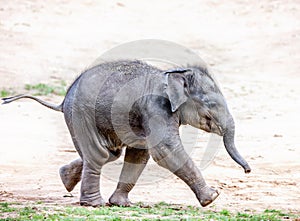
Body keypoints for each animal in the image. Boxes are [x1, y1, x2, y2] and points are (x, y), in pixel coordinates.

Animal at [2, 60, 251, 207]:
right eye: (210, 105)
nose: (248, 171)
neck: (172, 75)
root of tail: (63, 101)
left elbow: (140, 153)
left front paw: (122, 204)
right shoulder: (155, 107)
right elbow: (164, 151)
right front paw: (213, 197)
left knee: (109, 154)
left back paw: (66, 178)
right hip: (81, 114)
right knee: (98, 154)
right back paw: (94, 204)